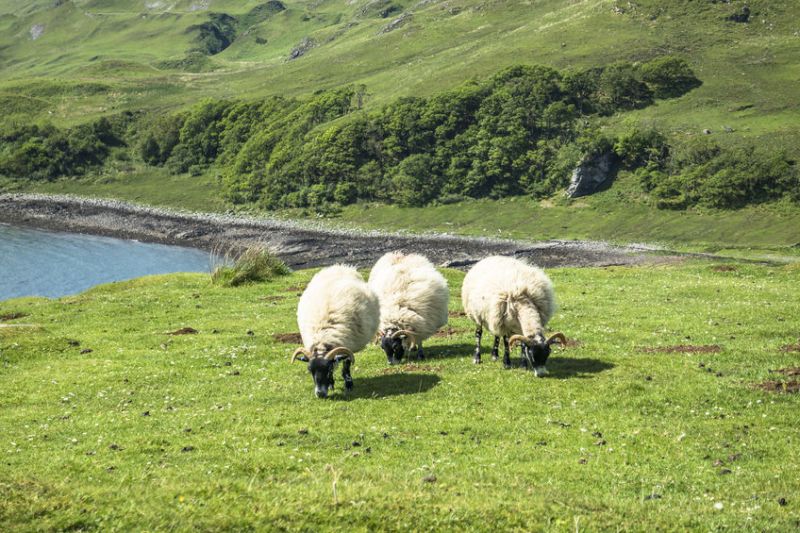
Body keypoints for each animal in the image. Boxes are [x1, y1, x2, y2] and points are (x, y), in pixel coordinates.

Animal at [292, 264, 380, 396]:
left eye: (328, 370)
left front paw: (348, 384)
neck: (323, 337)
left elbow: (346, 366)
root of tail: (339, 266)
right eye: (310, 370)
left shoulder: (348, 346)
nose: (320, 394)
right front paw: (331, 384)